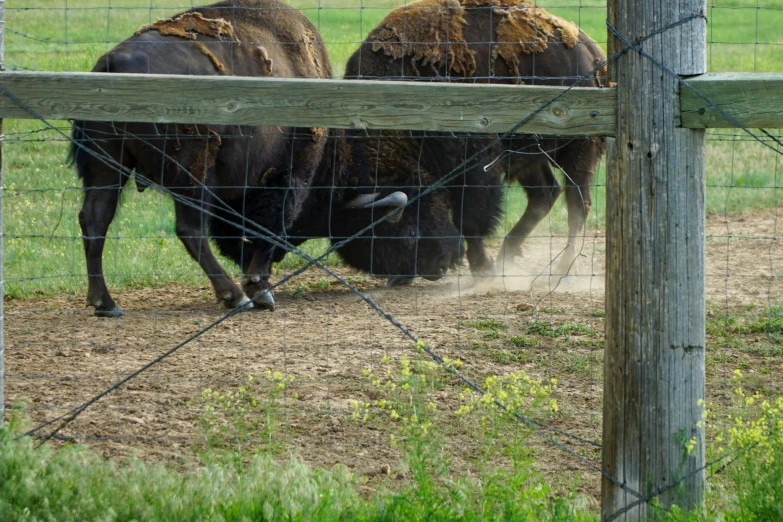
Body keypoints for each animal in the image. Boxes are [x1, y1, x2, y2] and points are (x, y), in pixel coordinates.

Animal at [72, 0, 460, 314]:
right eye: (409, 225)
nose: (442, 263)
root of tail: (112, 62)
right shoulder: (287, 179)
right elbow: (267, 229)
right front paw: (260, 289)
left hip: (107, 166)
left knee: (95, 220)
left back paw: (105, 303)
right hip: (192, 173)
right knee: (188, 229)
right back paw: (235, 297)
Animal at [346, 0, 608, 282]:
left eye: (408, 232)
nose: (433, 270)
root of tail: (591, 50)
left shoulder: (477, 166)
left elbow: (471, 218)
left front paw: (482, 269)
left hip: (579, 148)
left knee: (578, 203)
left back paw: (562, 271)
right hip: (529, 155)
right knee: (545, 195)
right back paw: (507, 257)